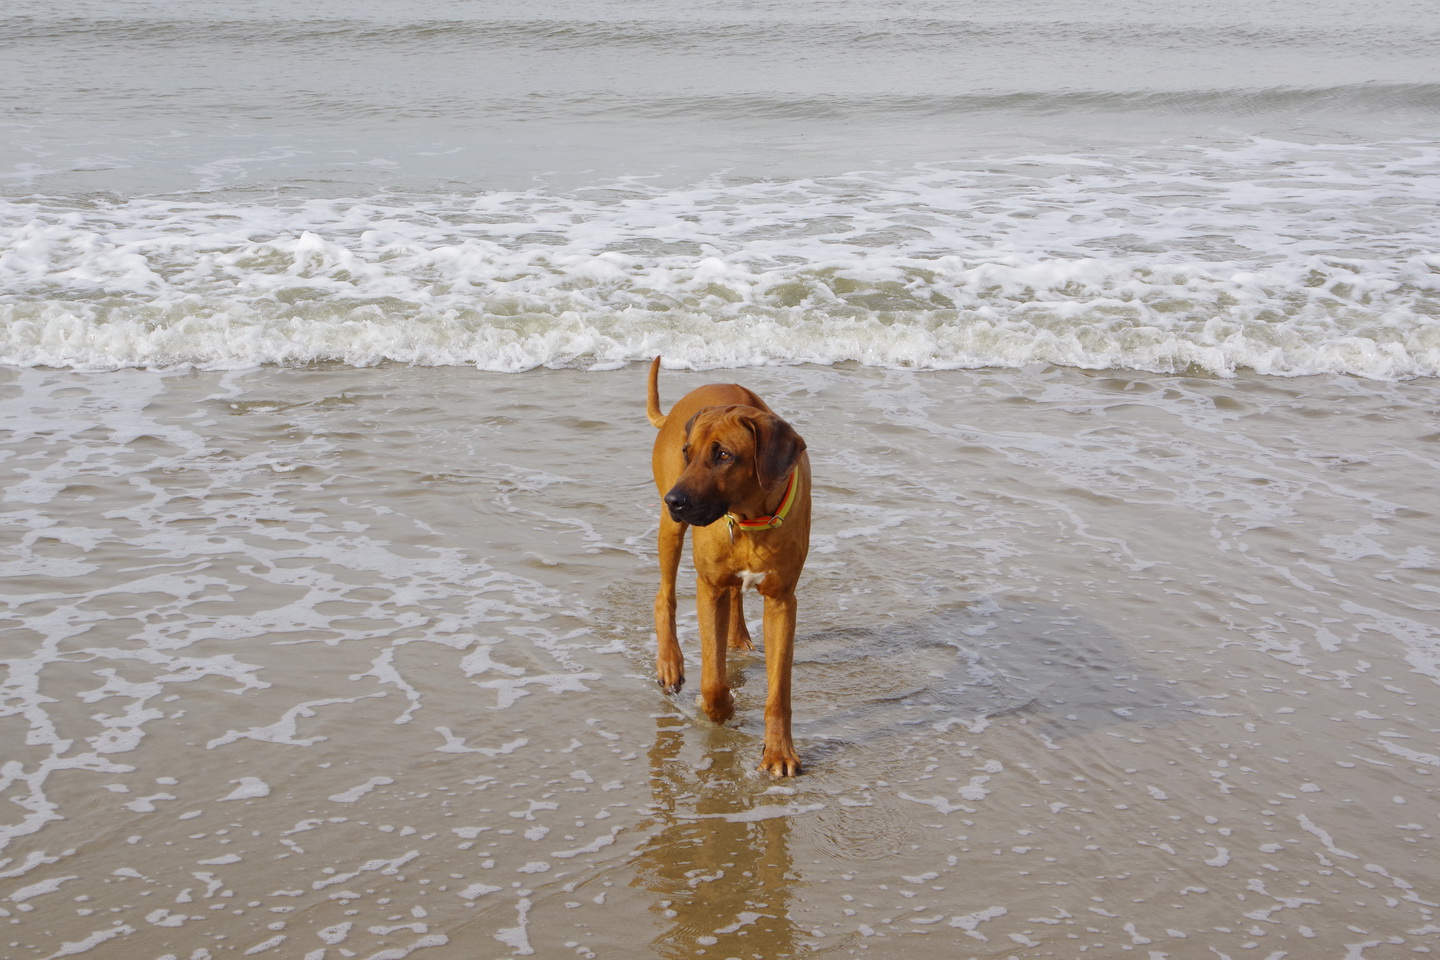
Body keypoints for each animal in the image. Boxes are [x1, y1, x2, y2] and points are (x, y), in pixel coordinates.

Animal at [642, 356, 812, 777]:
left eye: (724, 456)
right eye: (689, 452)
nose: (675, 500)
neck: (750, 516)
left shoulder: (782, 600)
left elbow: (779, 691)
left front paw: (779, 751)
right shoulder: (709, 588)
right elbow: (713, 682)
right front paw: (722, 708)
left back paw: (738, 635)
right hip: (670, 530)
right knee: (664, 596)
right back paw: (669, 663)